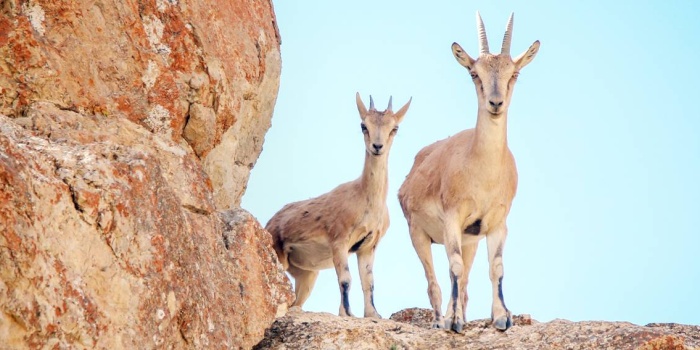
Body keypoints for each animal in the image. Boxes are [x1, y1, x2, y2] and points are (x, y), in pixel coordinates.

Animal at [266, 92, 410, 318]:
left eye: (394, 128)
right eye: (363, 125)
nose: (377, 147)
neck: (366, 200)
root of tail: (269, 224)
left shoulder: (368, 246)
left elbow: (368, 282)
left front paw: (373, 314)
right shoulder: (339, 241)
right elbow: (345, 279)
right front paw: (347, 312)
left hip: (308, 274)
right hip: (280, 257)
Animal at [400, 12, 540, 332]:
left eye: (514, 74)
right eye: (474, 74)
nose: (495, 103)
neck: (482, 173)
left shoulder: (495, 223)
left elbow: (496, 268)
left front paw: (502, 317)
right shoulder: (453, 218)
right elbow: (453, 266)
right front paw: (453, 322)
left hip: (470, 240)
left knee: (463, 283)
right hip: (418, 234)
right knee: (434, 282)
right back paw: (440, 320)